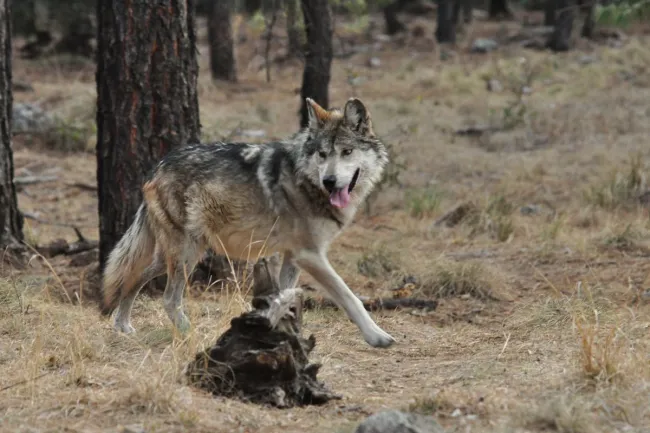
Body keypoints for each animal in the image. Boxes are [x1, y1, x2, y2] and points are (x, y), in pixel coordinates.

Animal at [100, 97, 396, 348]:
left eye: (347, 152)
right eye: (322, 154)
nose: (330, 181)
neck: (305, 182)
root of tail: (157, 167)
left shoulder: (293, 256)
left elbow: (285, 299)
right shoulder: (310, 255)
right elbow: (349, 297)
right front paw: (378, 336)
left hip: (174, 256)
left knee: (134, 276)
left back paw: (122, 325)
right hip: (187, 254)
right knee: (169, 300)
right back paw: (191, 335)